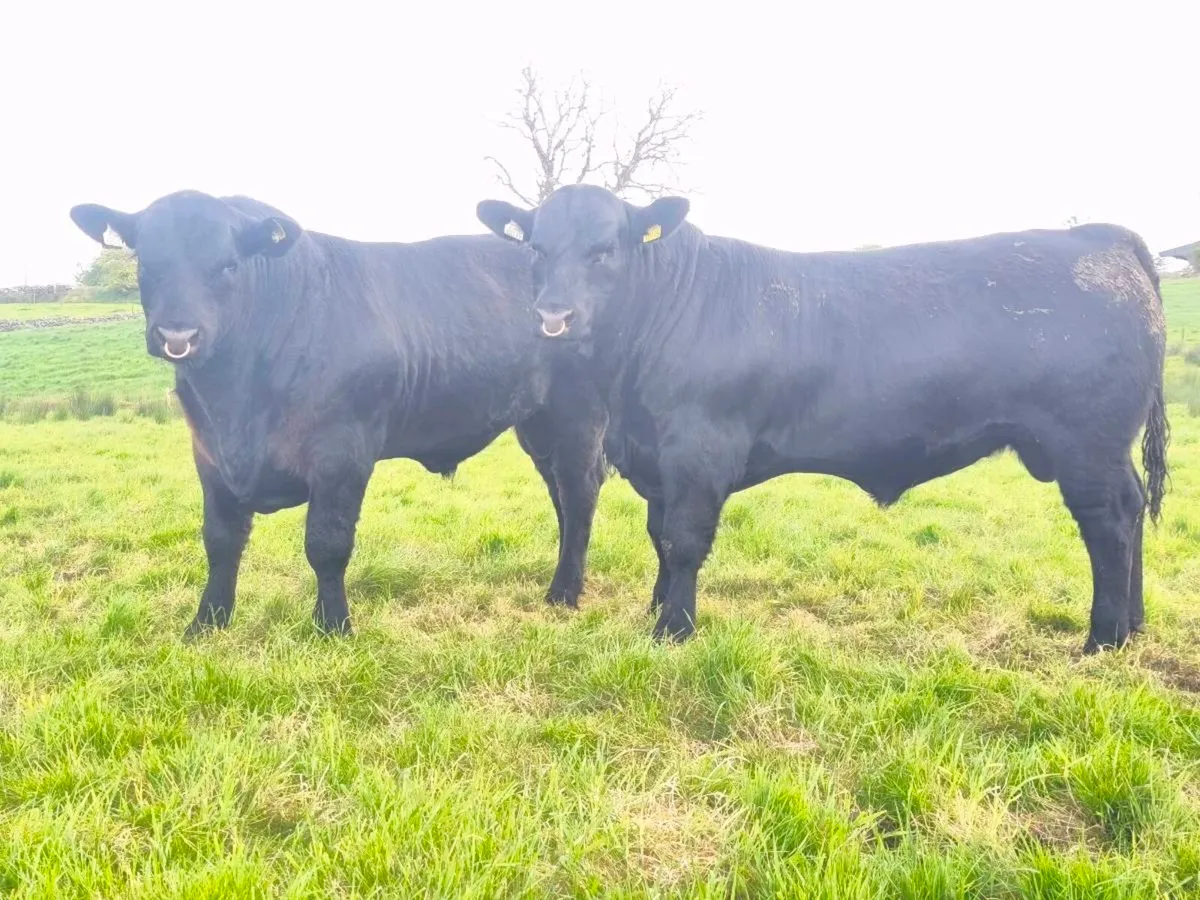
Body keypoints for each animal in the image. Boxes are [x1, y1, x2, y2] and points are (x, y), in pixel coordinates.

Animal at [70, 190, 607, 637]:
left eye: (228, 265)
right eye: (145, 261)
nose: (177, 335)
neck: (236, 400)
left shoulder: (341, 455)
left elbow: (326, 545)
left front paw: (333, 626)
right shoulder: (208, 454)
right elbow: (220, 541)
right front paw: (207, 623)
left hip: (577, 415)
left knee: (580, 493)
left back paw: (564, 592)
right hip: (537, 424)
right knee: (560, 495)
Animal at [477, 184, 1169, 654]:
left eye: (605, 249)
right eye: (536, 247)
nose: (554, 315)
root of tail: (1102, 237)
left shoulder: (700, 453)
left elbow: (684, 541)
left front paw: (674, 630)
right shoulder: (655, 459)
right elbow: (659, 538)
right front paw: (657, 611)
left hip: (1086, 445)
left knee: (1110, 522)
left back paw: (1104, 638)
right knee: (1134, 509)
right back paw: (1134, 624)